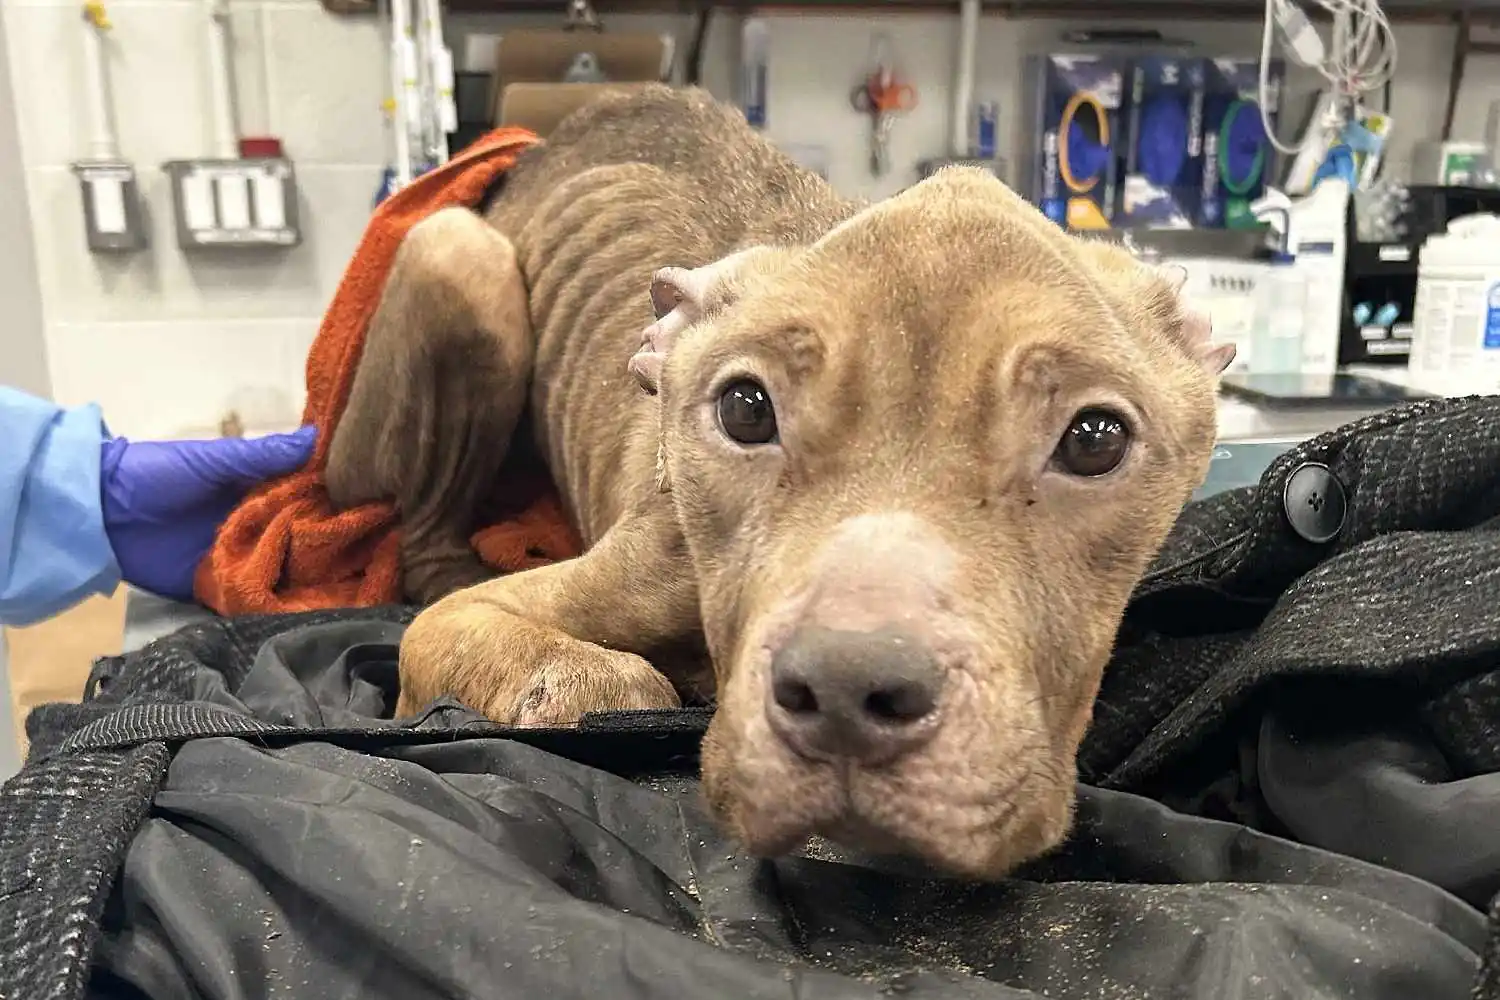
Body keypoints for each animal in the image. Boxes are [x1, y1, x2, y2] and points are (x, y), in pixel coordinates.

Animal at [324, 86, 1234, 879]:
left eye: (1095, 440)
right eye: (745, 409)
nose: (848, 691)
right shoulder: (473, 623)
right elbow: (590, 668)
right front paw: (586, 685)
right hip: (458, 257)